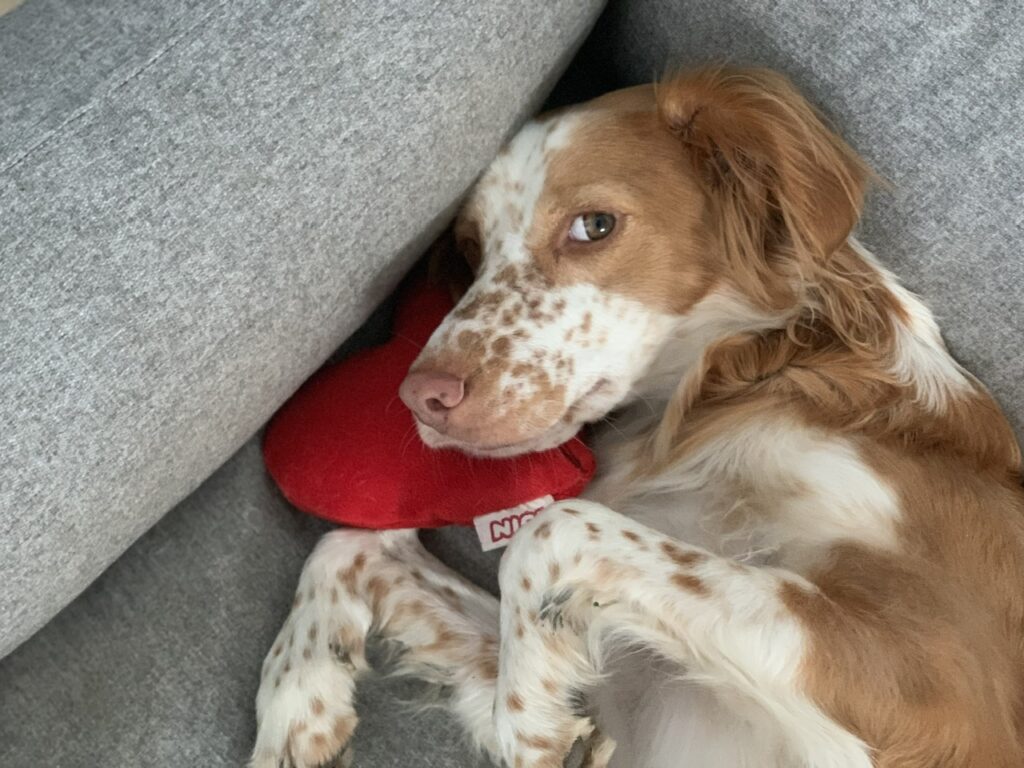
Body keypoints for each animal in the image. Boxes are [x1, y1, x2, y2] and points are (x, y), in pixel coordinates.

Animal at [247, 67, 1024, 768]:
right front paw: (297, 698)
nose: (419, 397)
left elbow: (548, 528)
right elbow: (348, 544)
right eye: (471, 253)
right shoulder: (623, 698)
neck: (731, 388)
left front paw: (525, 718)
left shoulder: (949, 683)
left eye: (594, 226)